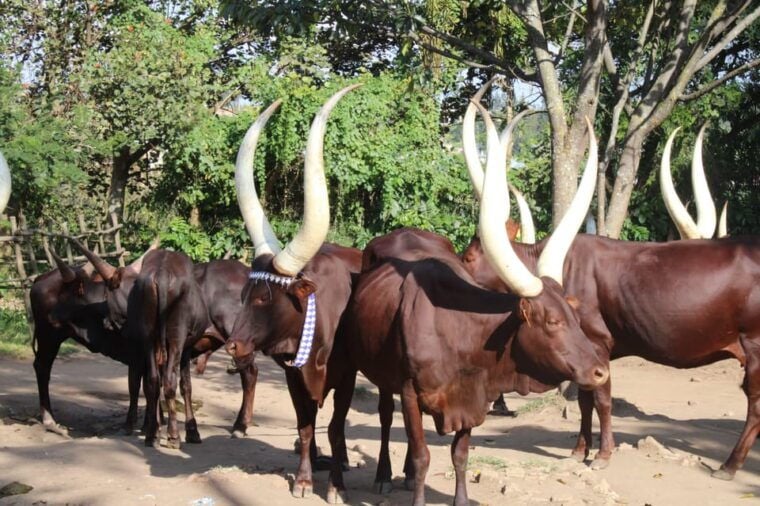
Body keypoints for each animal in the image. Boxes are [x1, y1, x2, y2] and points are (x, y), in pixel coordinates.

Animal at [223, 85, 363, 504]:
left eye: (264, 298)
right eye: (244, 294)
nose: (232, 345)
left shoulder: (346, 376)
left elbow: (336, 427)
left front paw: (335, 485)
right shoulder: (292, 376)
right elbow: (305, 425)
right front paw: (303, 480)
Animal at [338, 103, 609, 505]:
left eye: (573, 316)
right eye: (551, 321)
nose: (600, 372)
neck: (457, 330)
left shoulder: (473, 401)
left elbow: (460, 454)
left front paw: (460, 498)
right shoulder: (410, 391)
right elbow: (422, 455)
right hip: (380, 372)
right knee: (386, 417)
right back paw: (386, 474)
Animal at [460, 99, 760, 480]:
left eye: (469, 256)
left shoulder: (598, 344)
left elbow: (600, 398)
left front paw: (602, 454)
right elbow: (585, 398)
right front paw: (579, 450)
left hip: (755, 345)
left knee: (756, 404)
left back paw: (729, 465)